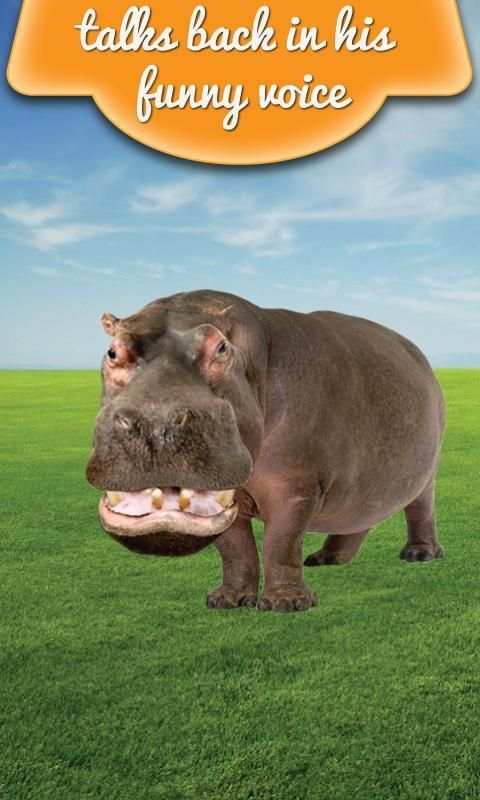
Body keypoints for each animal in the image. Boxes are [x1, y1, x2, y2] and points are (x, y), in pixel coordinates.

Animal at [87, 289, 445, 613]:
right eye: (112, 351)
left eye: (220, 348)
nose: (155, 423)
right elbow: (236, 549)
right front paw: (226, 600)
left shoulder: (296, 485)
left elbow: (281, 542)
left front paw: (287, 604)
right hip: (365, 484)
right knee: (359, 515)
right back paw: (324, 559)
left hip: (427, 472)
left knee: (420, 508)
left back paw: (420, 554)